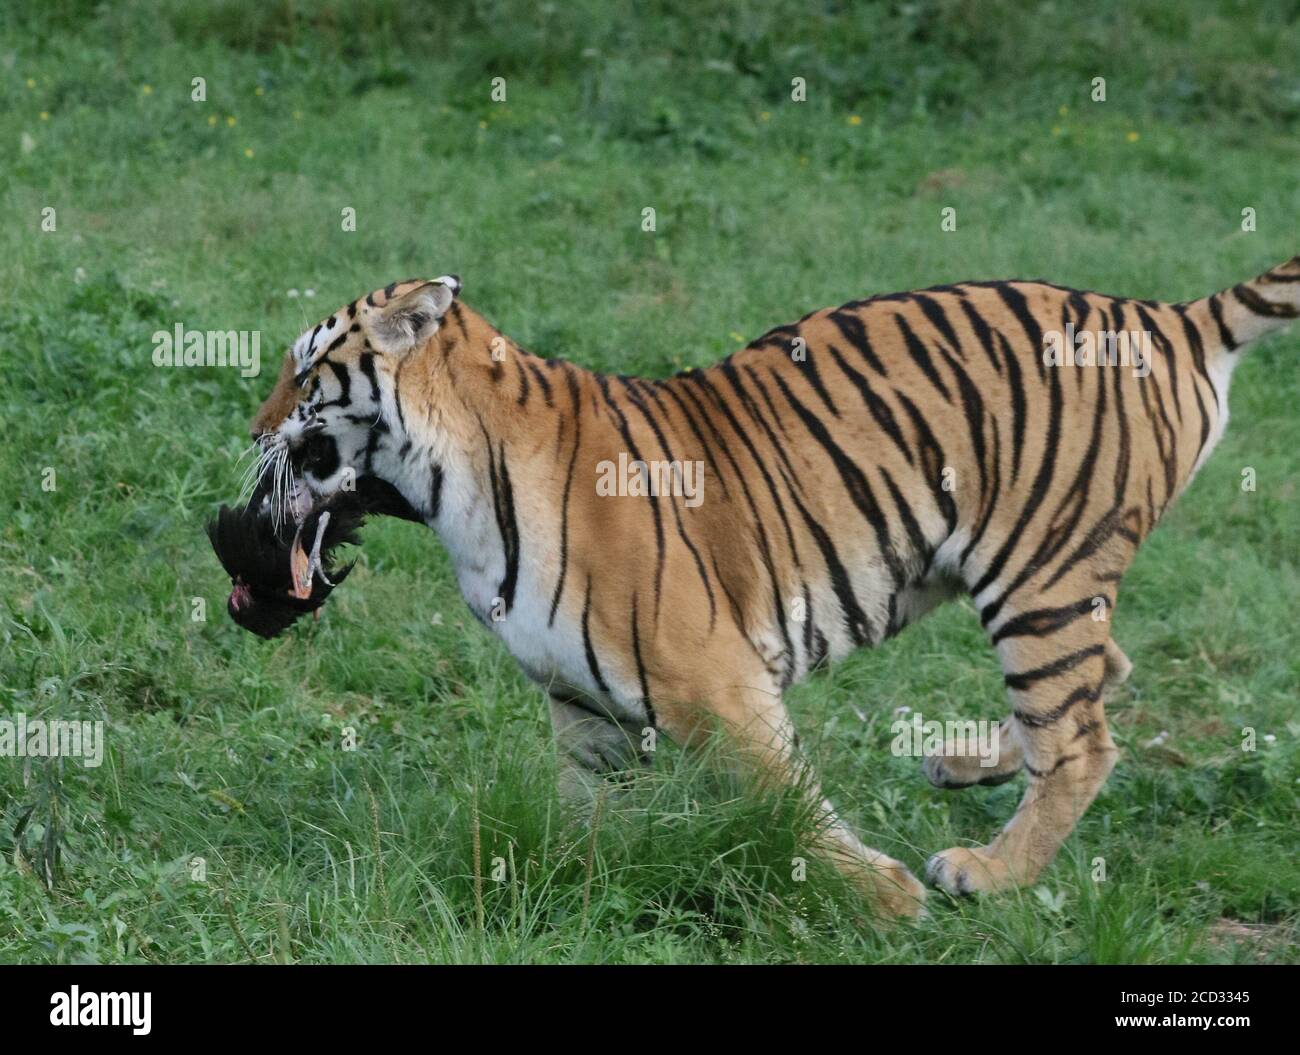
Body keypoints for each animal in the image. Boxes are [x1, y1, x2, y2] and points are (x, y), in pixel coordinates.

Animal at [239, 259, 1294, 919]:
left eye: (304, 374)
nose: (249, 430)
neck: (446, 491)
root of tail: (1169, 315)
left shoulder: (711, 678)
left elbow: (790, 799)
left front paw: (886, 898)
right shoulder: (584, 706)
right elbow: (580, 819)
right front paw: (566, 883)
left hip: (1039, 569)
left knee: (1080, 736)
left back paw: (985, 872)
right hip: (1045, 579)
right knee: (1101, 673)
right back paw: (965, 765)